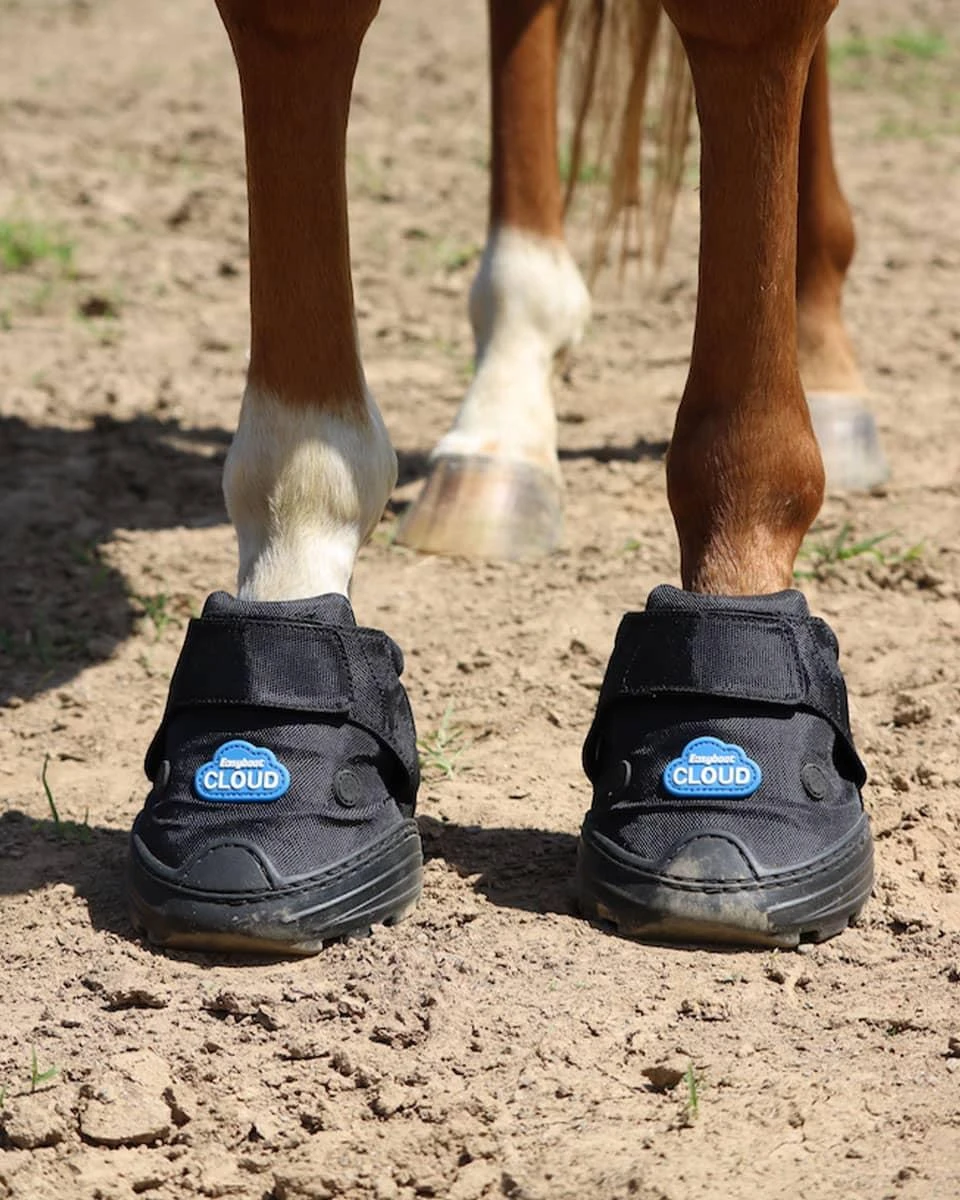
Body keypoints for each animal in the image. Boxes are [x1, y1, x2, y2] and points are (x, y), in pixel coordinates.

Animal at [126, 0, 877, 955]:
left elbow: (753, 36)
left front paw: (742, 555)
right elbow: (298, 29)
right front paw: (296, 562)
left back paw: (828, 359)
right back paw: (503, 432)